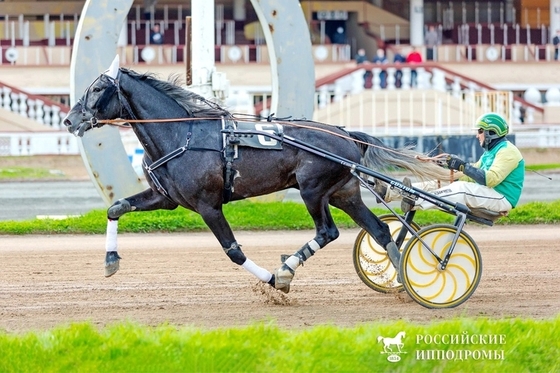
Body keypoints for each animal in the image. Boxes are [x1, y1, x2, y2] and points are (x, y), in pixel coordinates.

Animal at [62, 55, 446, 294]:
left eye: (97, 89)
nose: (69, 119)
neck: (182, 133)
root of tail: (346, 134)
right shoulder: (165, 198)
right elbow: (115, 208)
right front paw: (110, 261)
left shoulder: (208, 205)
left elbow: (233, 251)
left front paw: (273, 280)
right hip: (344, 192)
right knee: (380, 230)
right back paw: (400, 281)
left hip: (313, 189)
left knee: (327, 231)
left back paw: (288, 269)